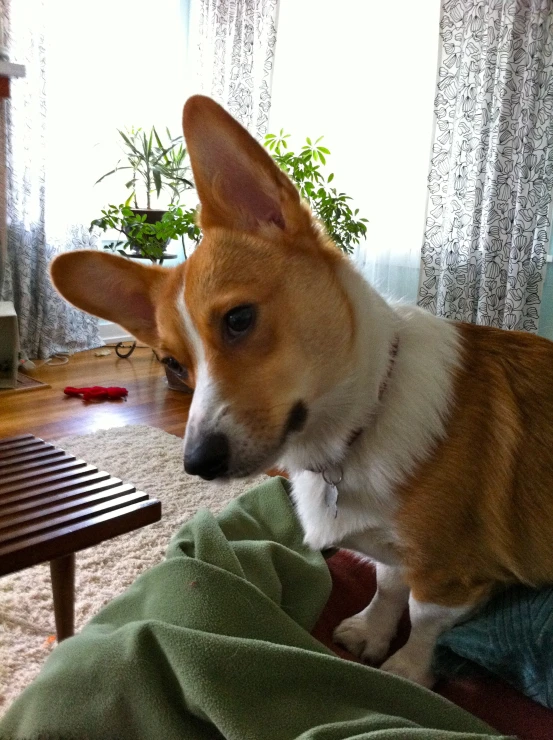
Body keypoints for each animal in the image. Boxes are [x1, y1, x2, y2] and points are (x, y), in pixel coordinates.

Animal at [52, 95, 553, 692]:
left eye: (239, 319)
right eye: (174, 363)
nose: (197, 464)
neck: (357, 427)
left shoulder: (446, 567)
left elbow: (423, 616)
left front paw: (407, 671)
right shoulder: (397, 550)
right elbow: (389, 585)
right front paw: (371, 634)